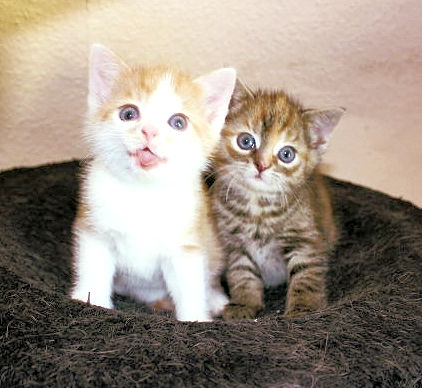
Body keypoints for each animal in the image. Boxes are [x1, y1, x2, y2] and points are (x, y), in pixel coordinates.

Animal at [68, 44, 234, 322]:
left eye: (178, 122)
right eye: (128, 113)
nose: (149, 131)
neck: (142, 191)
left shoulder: (186, 244)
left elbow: (190, 285)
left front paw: (195, 317)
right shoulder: (95, 226)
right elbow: (93, 264)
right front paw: (90, 300)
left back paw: (214, 298)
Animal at [209, 81, 344, 318]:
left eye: (286, 154)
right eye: (246, 141)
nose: (261, 165)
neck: (257, 208)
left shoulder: (305, 241)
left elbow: (306, 277)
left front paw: (303, 309)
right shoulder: (234, 245)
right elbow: (242, 274)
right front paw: (243, 304)